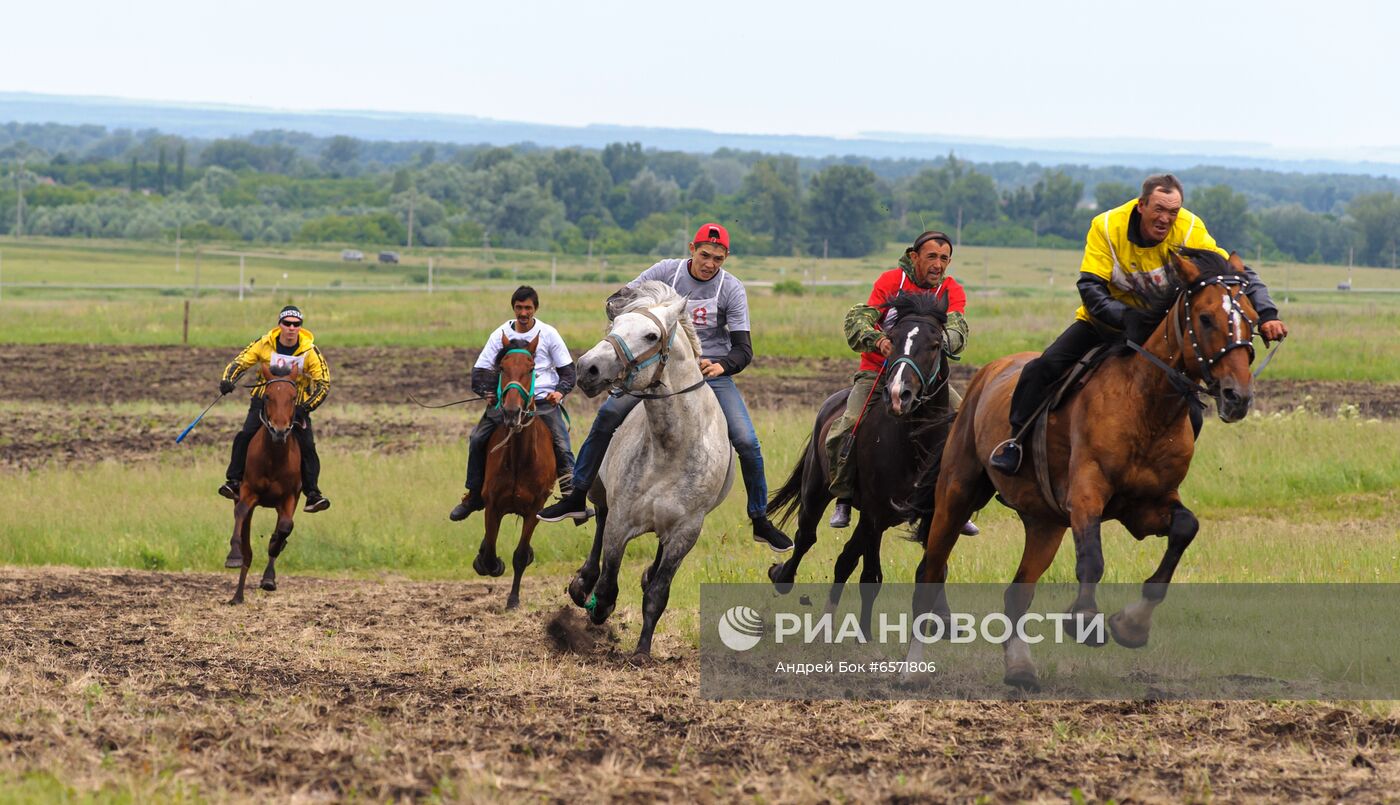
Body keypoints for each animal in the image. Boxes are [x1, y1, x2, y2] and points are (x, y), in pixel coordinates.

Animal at [224, 364, 303, 604]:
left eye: (293, 397)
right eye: (268, 396)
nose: (279, 430)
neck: (274, 457)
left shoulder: (289, 498)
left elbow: (285, 527)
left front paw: (269, 576)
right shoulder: (248, 492)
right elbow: (240, 512)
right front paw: (233, 556)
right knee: (247, 549)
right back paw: (237, 595)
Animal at [473, 333, 554, 610]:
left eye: (531, 368)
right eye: (501, 368)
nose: (511, 413)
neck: (519, 458)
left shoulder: (535, 509)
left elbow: (519, 555)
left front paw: (513, 600)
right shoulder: (492, 505)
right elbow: (489, 553)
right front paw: (490, 563)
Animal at [565, 282, 739, 660]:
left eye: (650, 335)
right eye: (616, 323)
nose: (587, 368)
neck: (670, 448)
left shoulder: (686, 531)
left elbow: (658, 592)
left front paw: (643, 652)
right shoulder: (621, 520)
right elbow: (609, 582)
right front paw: (596, 607)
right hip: (601, 494)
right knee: (598, 524)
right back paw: (583, 585)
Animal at [767, 289, 952, 635]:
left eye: (935, 344)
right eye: (892, 339)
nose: (899, 395)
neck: (914, 444)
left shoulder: (933, 515)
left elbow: (933, 570)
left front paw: (941, 619)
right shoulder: (875, 515)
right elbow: (871, 576)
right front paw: (864, 634)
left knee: (845, 559)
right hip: (817, 492)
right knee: (806, 538)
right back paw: (783, 577)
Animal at [907, 249, 1271, 688]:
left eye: (1251, 317)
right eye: (1205, 318)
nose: (1238, 396)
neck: (1146, 405)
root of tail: (986, 374)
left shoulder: (1146, 506)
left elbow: (1185, 528)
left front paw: (1132, 625)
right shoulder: (1086, 494)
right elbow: (1092, 559)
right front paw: (1084, 621)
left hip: (1044, 522)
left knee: (1017, 593)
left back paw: (1020, 668)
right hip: (957, 492)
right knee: (929, 572)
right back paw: (911, 669)